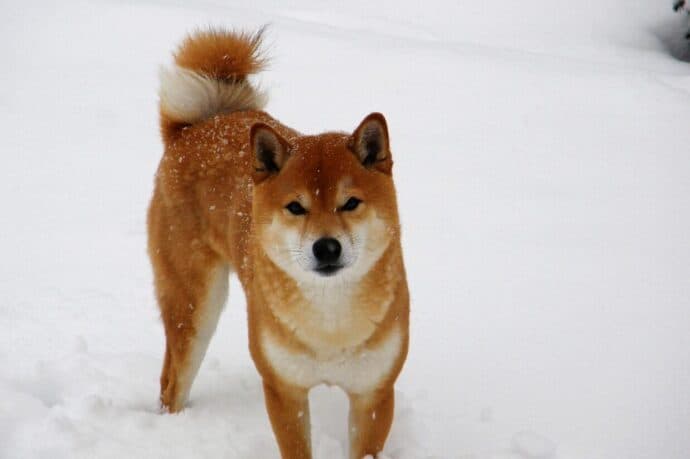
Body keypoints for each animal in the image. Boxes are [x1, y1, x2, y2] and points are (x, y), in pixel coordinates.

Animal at [149, 28, 408, 459]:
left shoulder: (372, 394)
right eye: (295, 207)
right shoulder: (285, 390)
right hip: (194, 308)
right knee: (172, 383)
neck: (330, 322)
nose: (327, 247)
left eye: (350, 203)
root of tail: (202, 123)